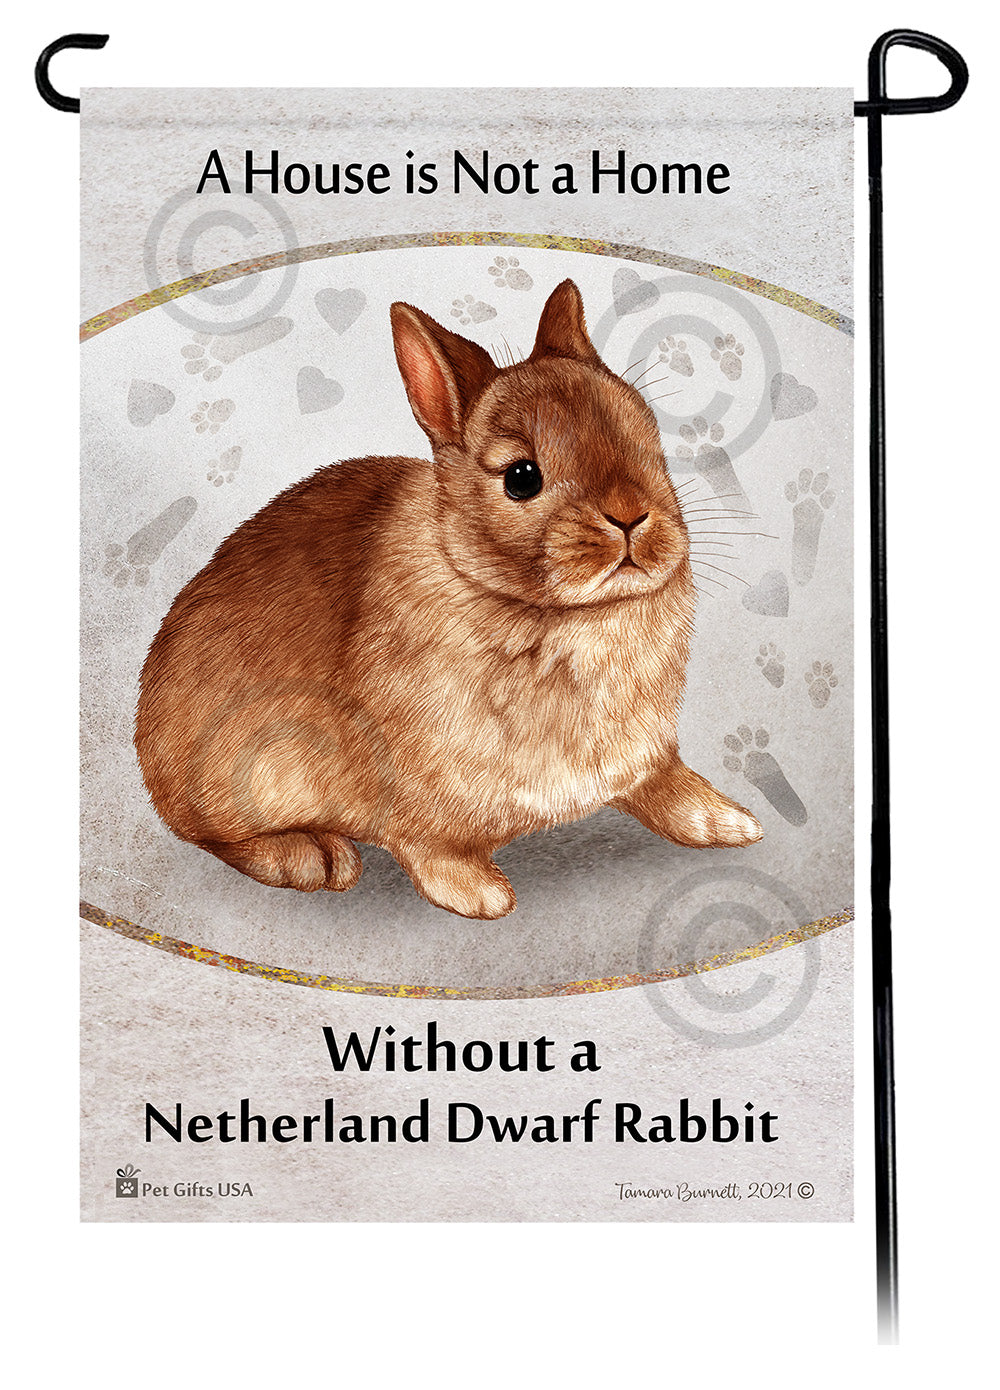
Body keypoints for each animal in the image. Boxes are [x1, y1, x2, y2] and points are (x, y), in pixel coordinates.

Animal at [135, 279, 761, 920]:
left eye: (651, 443)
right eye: (521, 478)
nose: (632, 517)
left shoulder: (644, 758)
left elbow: (668, 788)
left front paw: (729, 823)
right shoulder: (416, 790)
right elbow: (429, 844)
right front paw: (482, 896)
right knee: (211, 835)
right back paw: (312, 858)